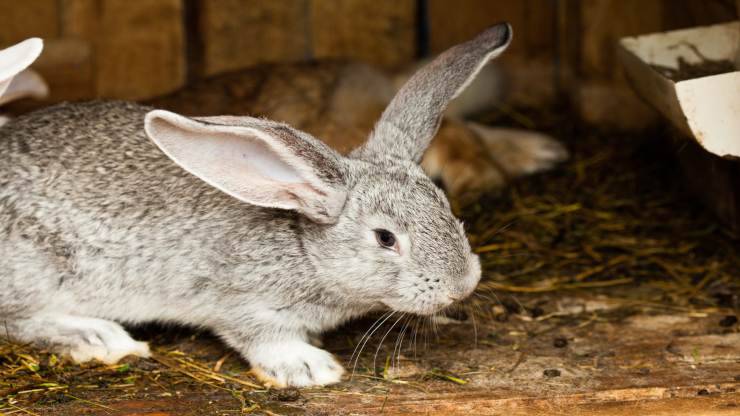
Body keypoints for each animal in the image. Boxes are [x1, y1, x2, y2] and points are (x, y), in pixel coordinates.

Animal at [1, 23, 516, 386]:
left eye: (446, 207)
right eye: (385, 238)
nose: (463, 286)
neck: (304, 249)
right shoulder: (240, 302)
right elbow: (259, 337)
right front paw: (310, 368)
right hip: (40, 270)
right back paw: (100, 338)